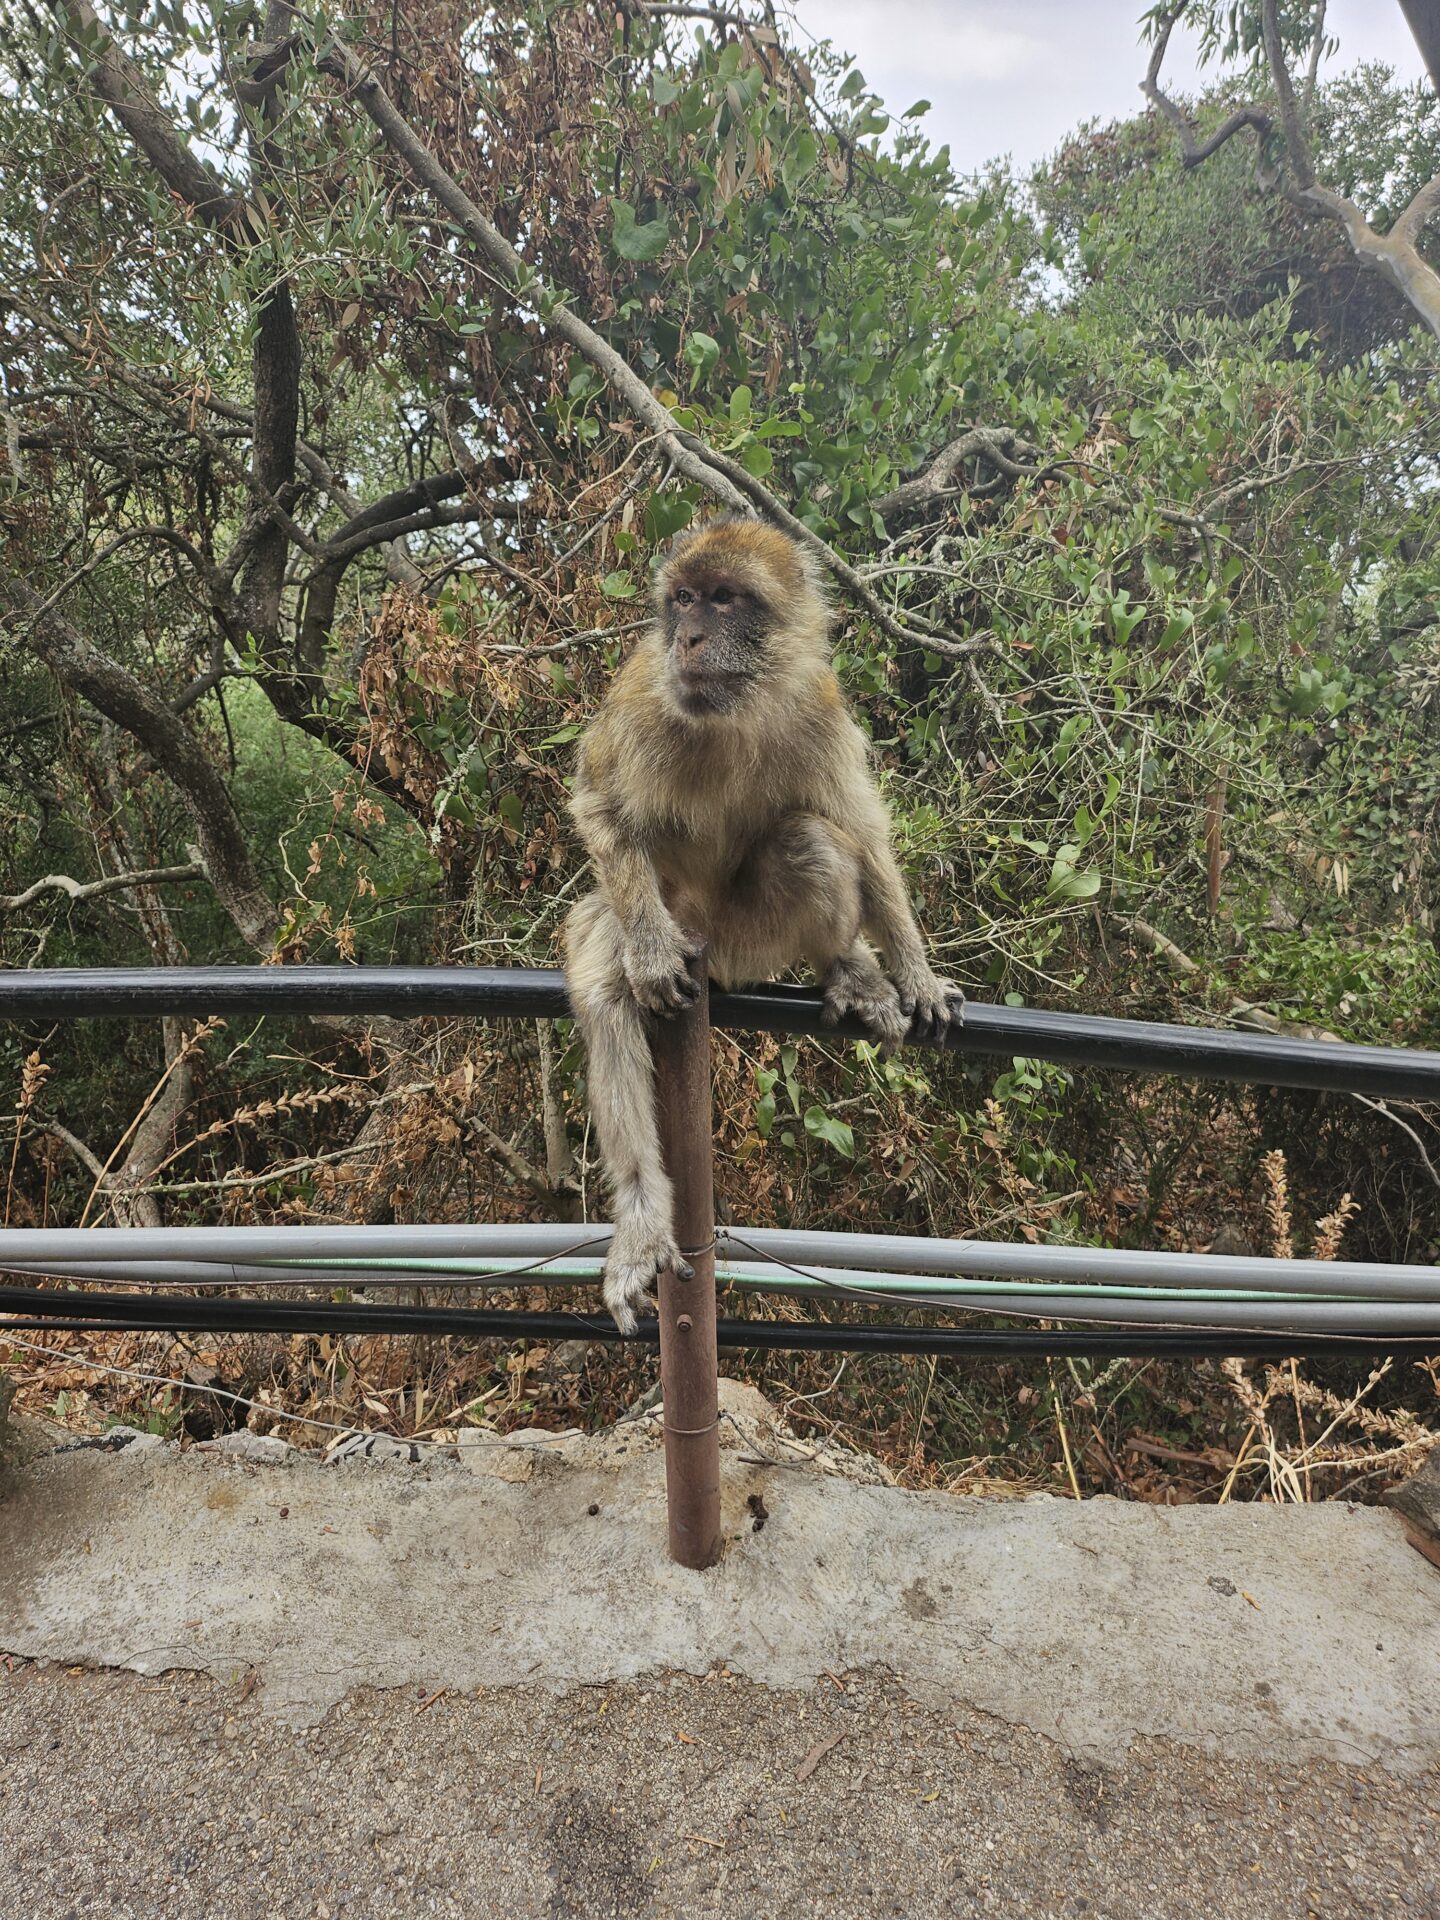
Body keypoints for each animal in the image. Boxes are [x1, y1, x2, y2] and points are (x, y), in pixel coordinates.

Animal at [568, 522, 971, 1336]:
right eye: (684, 598)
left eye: (725, 599)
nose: (688, 637)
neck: (734, 710)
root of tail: (710, 942)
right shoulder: (641, 693)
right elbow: (601, 806)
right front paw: (649, 957)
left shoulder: (819, 704)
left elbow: (862, 833)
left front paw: (914, 972)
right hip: (684, 931)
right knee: (606, 982)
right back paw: (642, 1218)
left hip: (751, 942)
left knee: (812, 842)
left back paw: (847, 965)